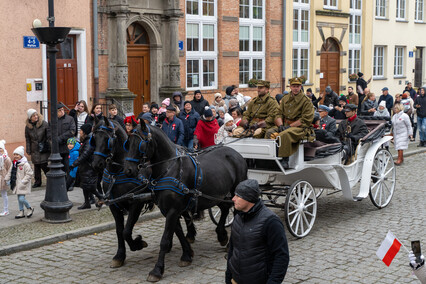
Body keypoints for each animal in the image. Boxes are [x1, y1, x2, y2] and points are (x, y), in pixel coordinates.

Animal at [90, 117, 152, 268]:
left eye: (107, 139)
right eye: (94, 138)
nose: (95, 164)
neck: (117, 172)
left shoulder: (136, 202)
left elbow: (126, 231)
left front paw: (137, 243)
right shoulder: (114, 205)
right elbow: (119, 230)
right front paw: (119, 256)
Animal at [123, 121, 248, 280]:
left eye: (141, 143)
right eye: (128, 142)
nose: (128, 170)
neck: (170, 169)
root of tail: (236, 153)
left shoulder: (173, 210)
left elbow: (165, 240)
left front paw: (157, 270)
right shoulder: (168, 210)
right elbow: (179, 233)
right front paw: (187, 255)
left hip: (237, 191)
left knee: (236, 212)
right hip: (219, 193)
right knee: (225, 208)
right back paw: (221, 235)